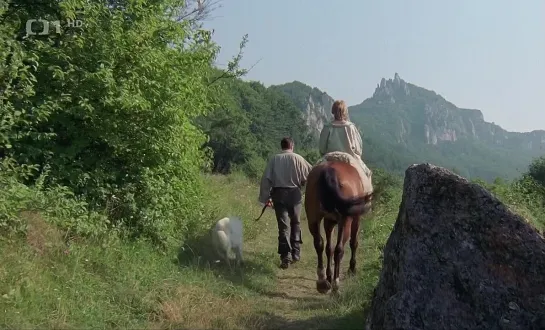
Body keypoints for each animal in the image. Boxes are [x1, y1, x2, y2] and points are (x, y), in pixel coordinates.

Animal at [304, 159, 372, 292]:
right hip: (346, 221)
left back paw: (322, 281)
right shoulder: (356, 218)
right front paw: (352, 269)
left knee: (319, 243)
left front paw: (329, 276)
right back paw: (336, 284)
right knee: (339, 249)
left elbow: (328, 248)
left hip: (312, 217)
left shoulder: (329, 221)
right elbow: (353, 243)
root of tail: (329, 171)